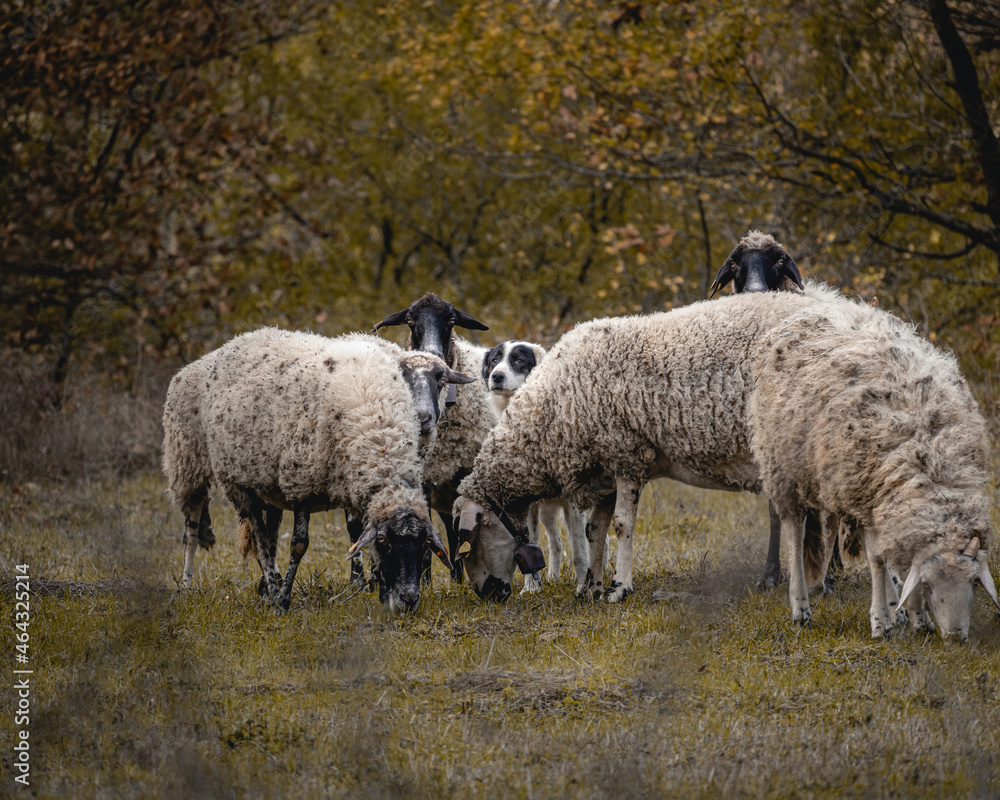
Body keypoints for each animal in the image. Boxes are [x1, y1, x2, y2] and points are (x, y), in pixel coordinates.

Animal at [164, 329, 469, 611]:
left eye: (424, 544)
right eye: (384, 541)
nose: (408, 600)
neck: (378, 435)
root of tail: (223, 349)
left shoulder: (352, 485)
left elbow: (357, 537)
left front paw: (370, 587)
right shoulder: (301, 482)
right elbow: (300, 544)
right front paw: (284, 601)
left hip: (265, 481)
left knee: (268, 530)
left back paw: (267, 585)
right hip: (204, 470)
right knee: (206, 531)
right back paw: (199, 585)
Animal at [373, 293, 497, 583]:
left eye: (451, 320)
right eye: (410, 320)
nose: (434, 355)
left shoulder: (464, 475)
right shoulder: (424, 481)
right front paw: (426, 583)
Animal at [482, 339, 590, 593]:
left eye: (519, 360)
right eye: (494, 360)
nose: (496, 376)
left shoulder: (575, 502)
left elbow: (580, 551)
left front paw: (583, 588)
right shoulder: (526, 503)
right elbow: (529, 544)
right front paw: (531, 588)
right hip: (547, 510)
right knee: (556, 542)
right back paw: (552, 577)